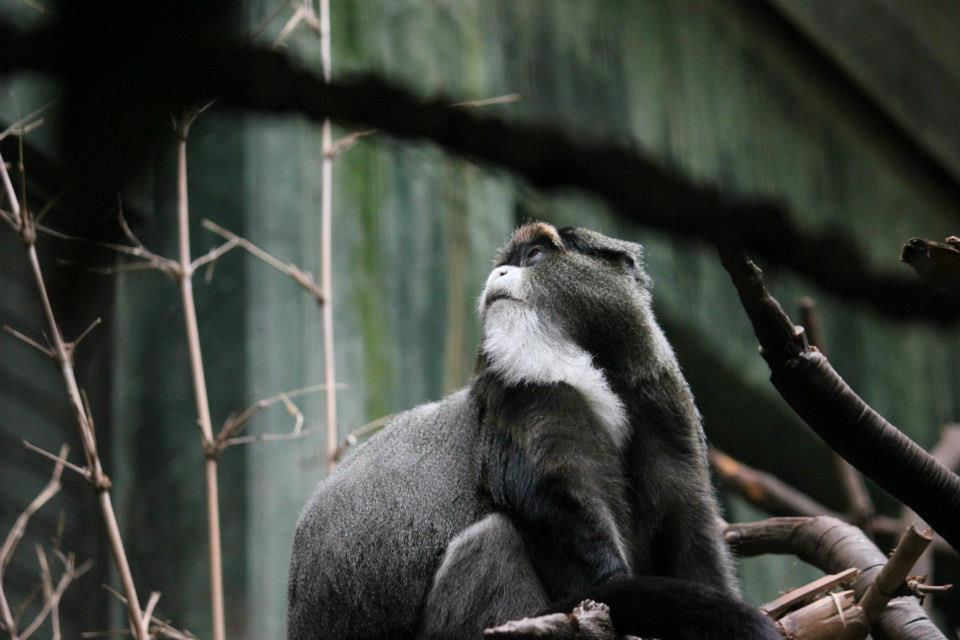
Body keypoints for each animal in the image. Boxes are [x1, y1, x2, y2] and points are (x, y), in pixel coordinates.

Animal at [287, 222, 781, 640]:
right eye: (508, 260)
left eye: (535, 255)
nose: (499, 273)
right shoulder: (521, 398)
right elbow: (554, 504)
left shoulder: (660, 399)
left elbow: (688, 520)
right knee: (492, 539)